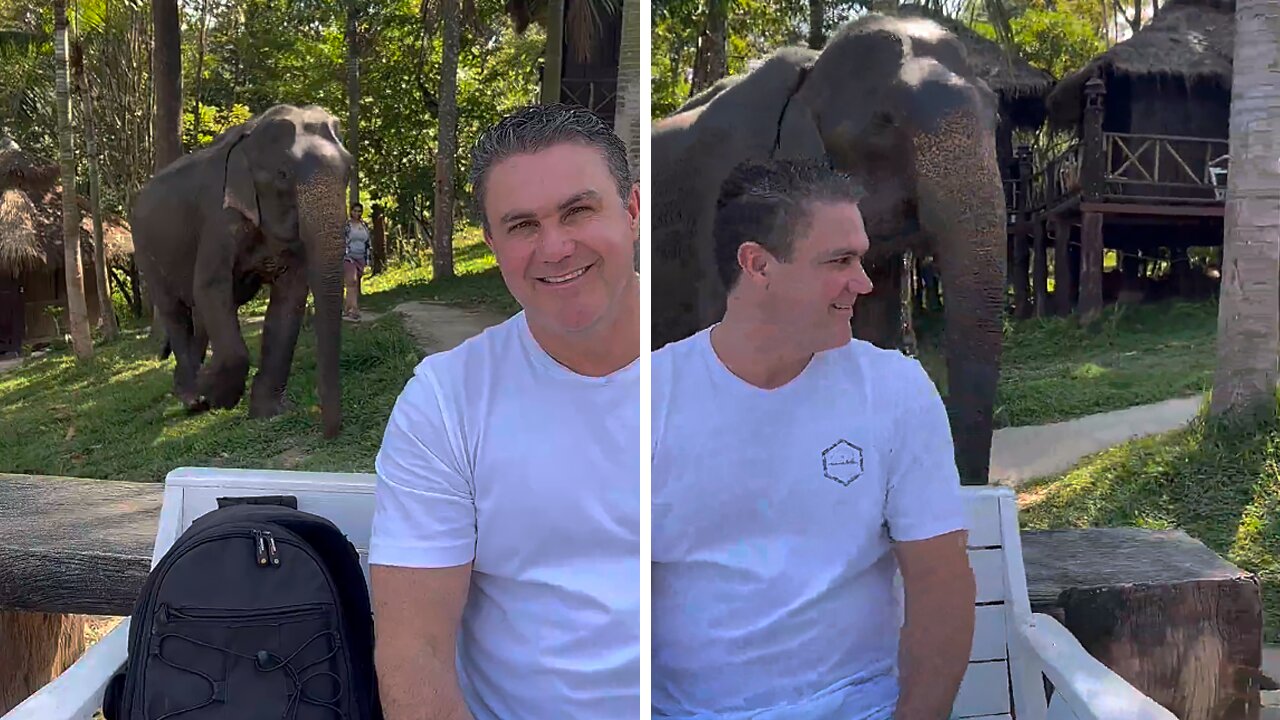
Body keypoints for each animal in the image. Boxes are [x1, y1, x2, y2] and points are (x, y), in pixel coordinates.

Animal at [131, 103, 353, 435]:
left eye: (350, 170)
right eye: (282, 174)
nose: (328, 431)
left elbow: (289, 299)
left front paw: (268, 413)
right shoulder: (218, 218)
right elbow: (211, 286)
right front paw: (218, 395)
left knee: (200, 315)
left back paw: (193, 391)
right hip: (146, 251)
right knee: (175, 312)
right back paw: (193, 397)